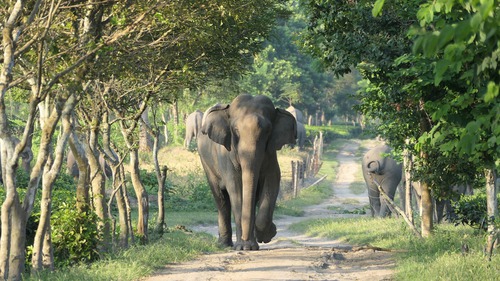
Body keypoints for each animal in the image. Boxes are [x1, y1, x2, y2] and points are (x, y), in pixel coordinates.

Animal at [196, 94, 296, 249]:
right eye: (235, 130)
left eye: (267, 131)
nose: (274, 229)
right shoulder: (226, 154)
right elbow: (236, 188)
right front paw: (244, 247)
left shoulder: (270, 154)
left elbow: (272, 180)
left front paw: (267, 235)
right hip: (206, 162)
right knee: (221, 199)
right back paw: (224, 245)